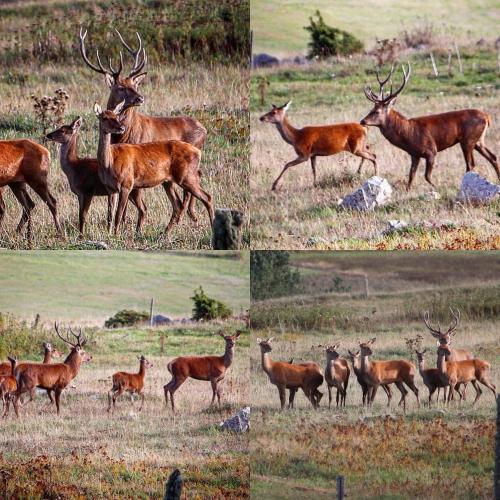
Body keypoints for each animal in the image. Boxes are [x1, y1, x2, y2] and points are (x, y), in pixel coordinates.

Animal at [78, 29, 203, 227]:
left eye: (134, 84)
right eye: (121, 87)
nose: (140, 97)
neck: (124, 135)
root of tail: (204, 129)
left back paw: (188, 216)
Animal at [94, 102, 214, 235]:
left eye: (116, 116)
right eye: (104, 117)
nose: (121, 128)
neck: (109, 162)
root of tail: (198, 152)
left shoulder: (126, 184)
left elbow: (118, 214)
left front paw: (116, 235)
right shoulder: (111, 188)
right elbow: (109, 215)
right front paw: (109, 234)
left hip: (186, 176)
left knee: (207, 197)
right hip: (168, 182)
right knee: (177, 205)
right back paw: (165, 233)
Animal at [362, 61, 498, 189]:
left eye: (376, 111)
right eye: (371, 109)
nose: (362, 121)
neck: (408, 134)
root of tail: (487, 117)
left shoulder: (431, 150)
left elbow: (427, 176)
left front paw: (438, 186)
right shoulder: (415, 154)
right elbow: (411, 175)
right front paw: (408, 191)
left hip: (467, 140)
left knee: (470, 164)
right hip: (478, 140)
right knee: (493, 157)